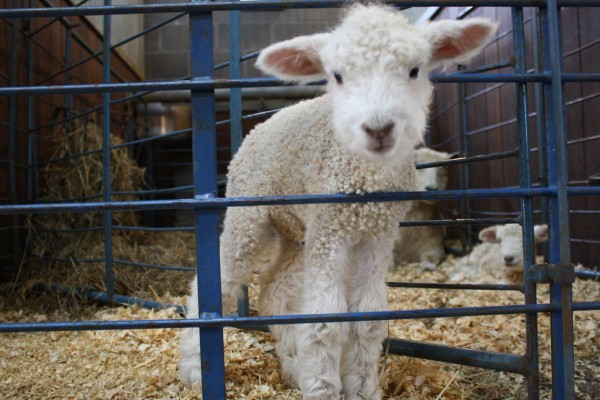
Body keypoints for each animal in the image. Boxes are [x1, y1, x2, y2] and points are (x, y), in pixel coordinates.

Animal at [178, 4, 496, 398]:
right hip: (248, 212)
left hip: (299, 231)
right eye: (338, 76)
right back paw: (195, 370)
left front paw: (361, 387)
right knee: (216, 283)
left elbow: (367, 317)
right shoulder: (332, 229)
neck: (364, 182)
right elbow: (326, 319)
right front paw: (323, 387)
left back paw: (292, 365)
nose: (378, 128)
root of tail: (260, 126)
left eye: (414, 70)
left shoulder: (377, 231)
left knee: (275, 290)